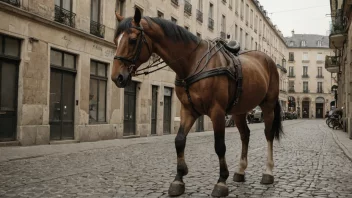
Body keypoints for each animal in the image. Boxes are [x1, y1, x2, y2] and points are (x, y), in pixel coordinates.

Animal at [113, 8, 284, 196]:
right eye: (116, 40)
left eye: (132, 40)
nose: (117, 76)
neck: (192, 63)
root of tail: (268, 60)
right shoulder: (188, 110)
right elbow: (179, 140)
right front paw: (179, 178)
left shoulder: (217, 112)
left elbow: (219, 146)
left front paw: (221, 181)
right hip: (240, 110)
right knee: (245, 135)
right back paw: (240, 171)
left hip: (268, 106)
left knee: (268, 134)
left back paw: (268, 172)